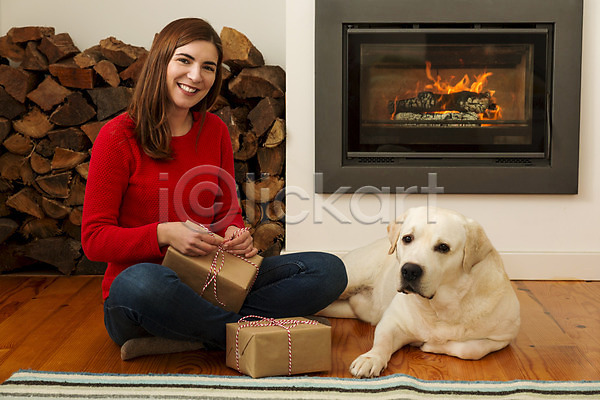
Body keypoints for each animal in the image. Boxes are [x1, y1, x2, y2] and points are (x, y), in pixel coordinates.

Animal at [318, 206, 520, 378]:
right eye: (407, 238)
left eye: (443, 247)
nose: (409, 270)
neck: (439, 306)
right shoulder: (392, 321)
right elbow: (382, 341)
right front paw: (371, 359)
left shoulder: (503, 337)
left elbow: (470, 350)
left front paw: (432, 345)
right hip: (349, 278)